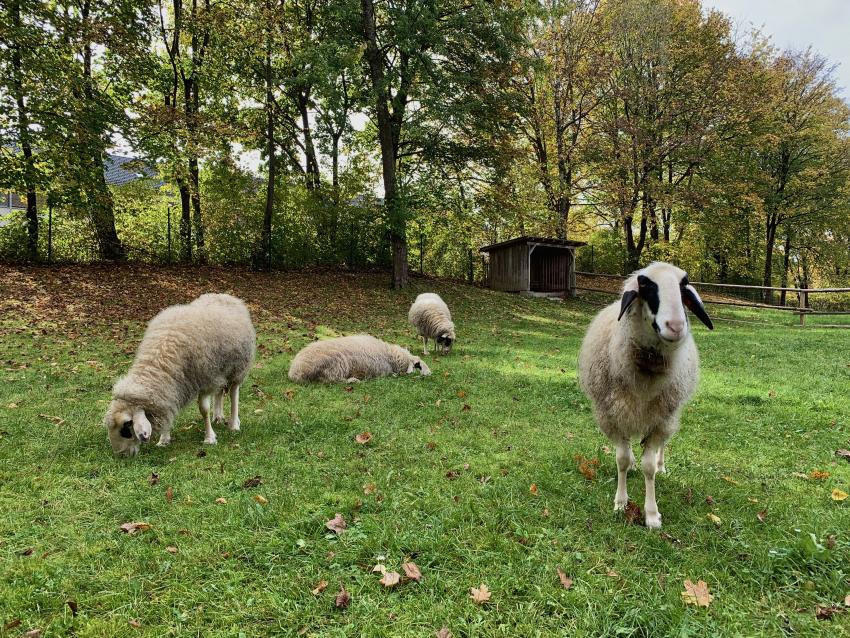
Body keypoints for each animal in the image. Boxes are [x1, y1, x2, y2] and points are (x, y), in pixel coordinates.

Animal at [104, 293, 256, 456]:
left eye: (126, 427)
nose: (121, 455)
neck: (161, 362)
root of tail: (225, 295)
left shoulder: (205, 380)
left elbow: (204, 409)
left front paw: (209, 438)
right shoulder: (172, 389)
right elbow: (167, 411)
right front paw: (163, 440)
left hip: (238, 367)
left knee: (234, 393)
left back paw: (234, 424)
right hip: (220, 368)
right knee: (220, 391)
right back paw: (218, 417)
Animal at [288, 334, 431, 383]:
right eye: (419, 365)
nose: (430, 373)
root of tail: (295, 371)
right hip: (336, 366)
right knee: (330, 380)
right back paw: (353, 380)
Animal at [577, 262, 713, 529]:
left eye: (683, 287)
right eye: (647, 286)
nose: (676, 327)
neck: (645, 377)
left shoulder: (660, 421)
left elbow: (648, 467)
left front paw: (651, 515)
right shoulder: (613, 416)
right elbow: (621, 459)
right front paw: (620, 503)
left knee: (662, 447)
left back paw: (661, 466)